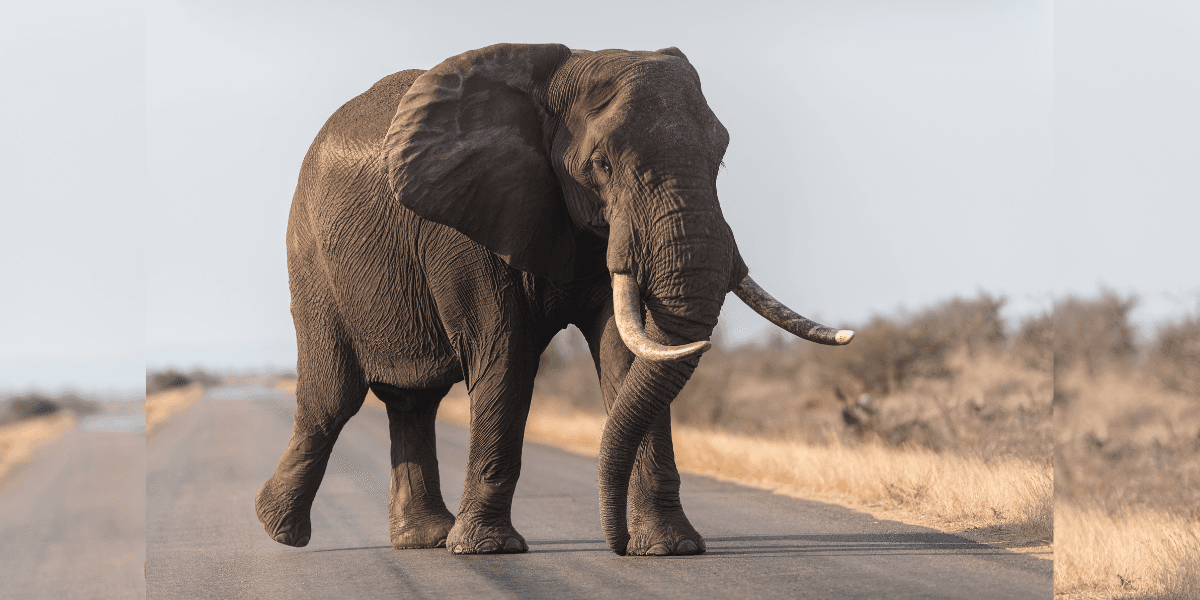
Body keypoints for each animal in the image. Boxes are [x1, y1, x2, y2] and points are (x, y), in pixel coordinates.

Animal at [255, 43, 854, 557]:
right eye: (602, 165)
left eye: (721, 158)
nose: (614, 542)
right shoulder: (465, 222)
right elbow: (506, 357)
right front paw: (489, 550)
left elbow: (627, 354)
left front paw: (670, 549)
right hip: (311, 259)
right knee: (333, 397)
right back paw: (279, 529)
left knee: (413, 401)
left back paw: (423, 539)